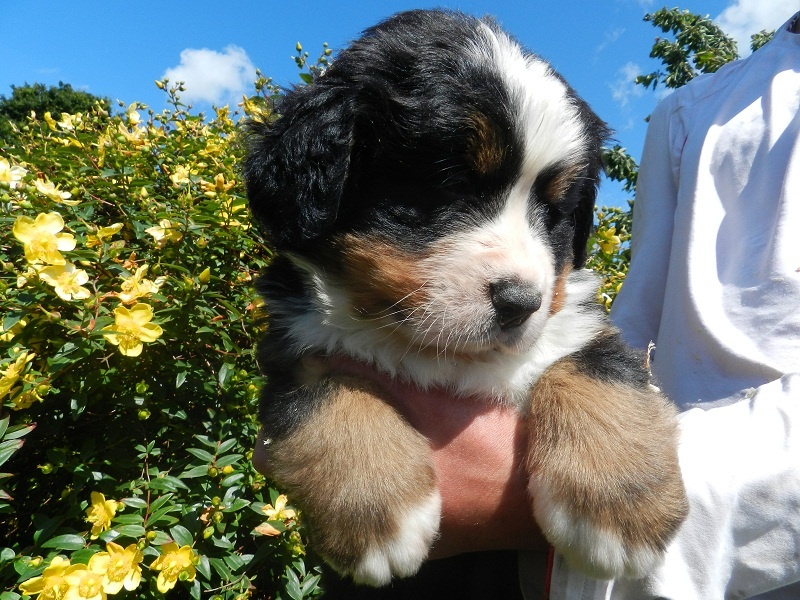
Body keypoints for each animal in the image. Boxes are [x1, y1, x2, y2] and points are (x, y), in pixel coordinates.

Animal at [243, 9, 688, 586]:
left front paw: (620, 508)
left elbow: (596, 372)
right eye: (448, 185)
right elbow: (331, 394)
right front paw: (378, 517)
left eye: (555, 211)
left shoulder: (580, 325)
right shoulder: (293, 353)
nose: (521, 302)